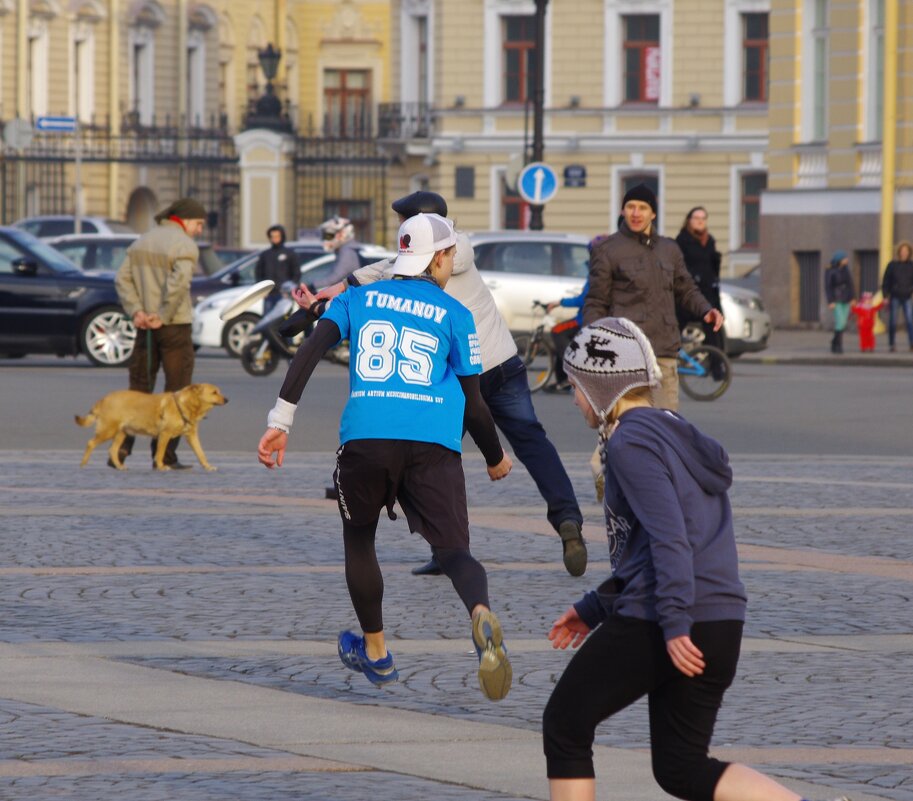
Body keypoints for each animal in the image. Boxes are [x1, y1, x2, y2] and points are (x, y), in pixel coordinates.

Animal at [76, 382, 230, 468]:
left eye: (219, 391)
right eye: (214, 392)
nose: (227, 399)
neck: (186, 405)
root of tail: (102, 399)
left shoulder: (192, 436)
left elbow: (201, 453)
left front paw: (208, 467)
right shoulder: (165, 434)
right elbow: (160, 453)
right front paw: (161, 466)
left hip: (122, 433)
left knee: (112, 450)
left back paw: (120, 467)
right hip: (108, 430)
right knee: (91, 443)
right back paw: (83, 464)